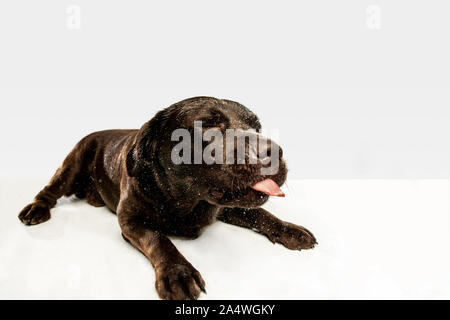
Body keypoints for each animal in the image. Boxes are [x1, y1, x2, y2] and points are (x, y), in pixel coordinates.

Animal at [18, 96, 316, 298]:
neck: (188, 201)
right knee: (50, 190)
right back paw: (36, 210)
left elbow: (261, 213)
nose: (272, 150)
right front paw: (178, 273)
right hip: (73, 161)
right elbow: (158, 239)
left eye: (257, 127)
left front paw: (290, 229)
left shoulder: (225, 206)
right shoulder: (131, 220)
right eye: (209, 128)